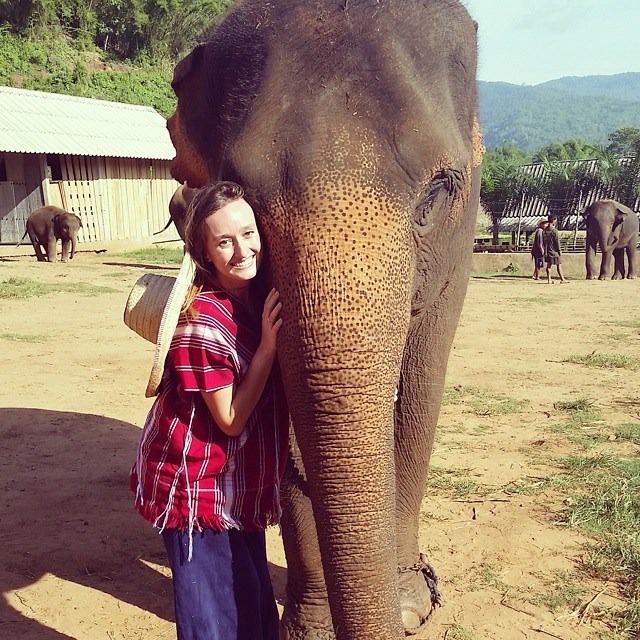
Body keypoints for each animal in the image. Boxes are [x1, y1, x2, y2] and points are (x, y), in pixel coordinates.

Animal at [166, 1, 483, 639]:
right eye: (244, 194)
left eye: (439, 189)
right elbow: (276, 414)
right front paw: (309, 629)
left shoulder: (456, 253)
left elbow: (419, 395)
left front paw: (410, 607)